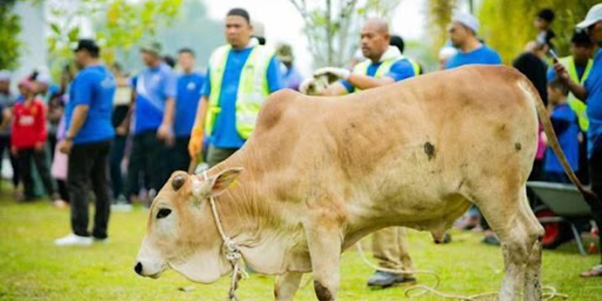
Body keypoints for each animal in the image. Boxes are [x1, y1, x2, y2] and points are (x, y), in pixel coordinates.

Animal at [134, 65, 588, 300]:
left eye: (163, 211)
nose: (138, 265)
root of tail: (508, 73)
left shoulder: (323, 227)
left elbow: (325, 288)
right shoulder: (297, 246)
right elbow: (283, 289)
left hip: (494, 192)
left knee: (517, 244)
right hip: (513, 191)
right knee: (534, 238)